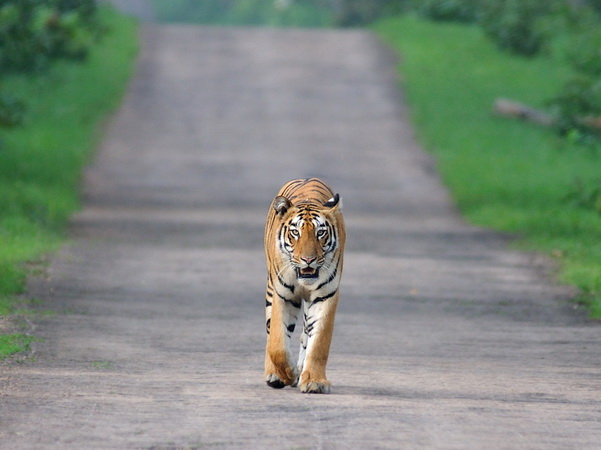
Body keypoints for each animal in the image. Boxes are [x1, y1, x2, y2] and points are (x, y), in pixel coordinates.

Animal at [264, 178, 346, 392]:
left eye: (320, 233)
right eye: (295, 232)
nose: (308, 260)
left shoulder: (325, 295)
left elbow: (318, 343)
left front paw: (314, 381)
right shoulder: (283, 295)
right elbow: (277, 344)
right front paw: (288, 373)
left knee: (306, 334)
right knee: (269, 333)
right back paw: (274, 375)